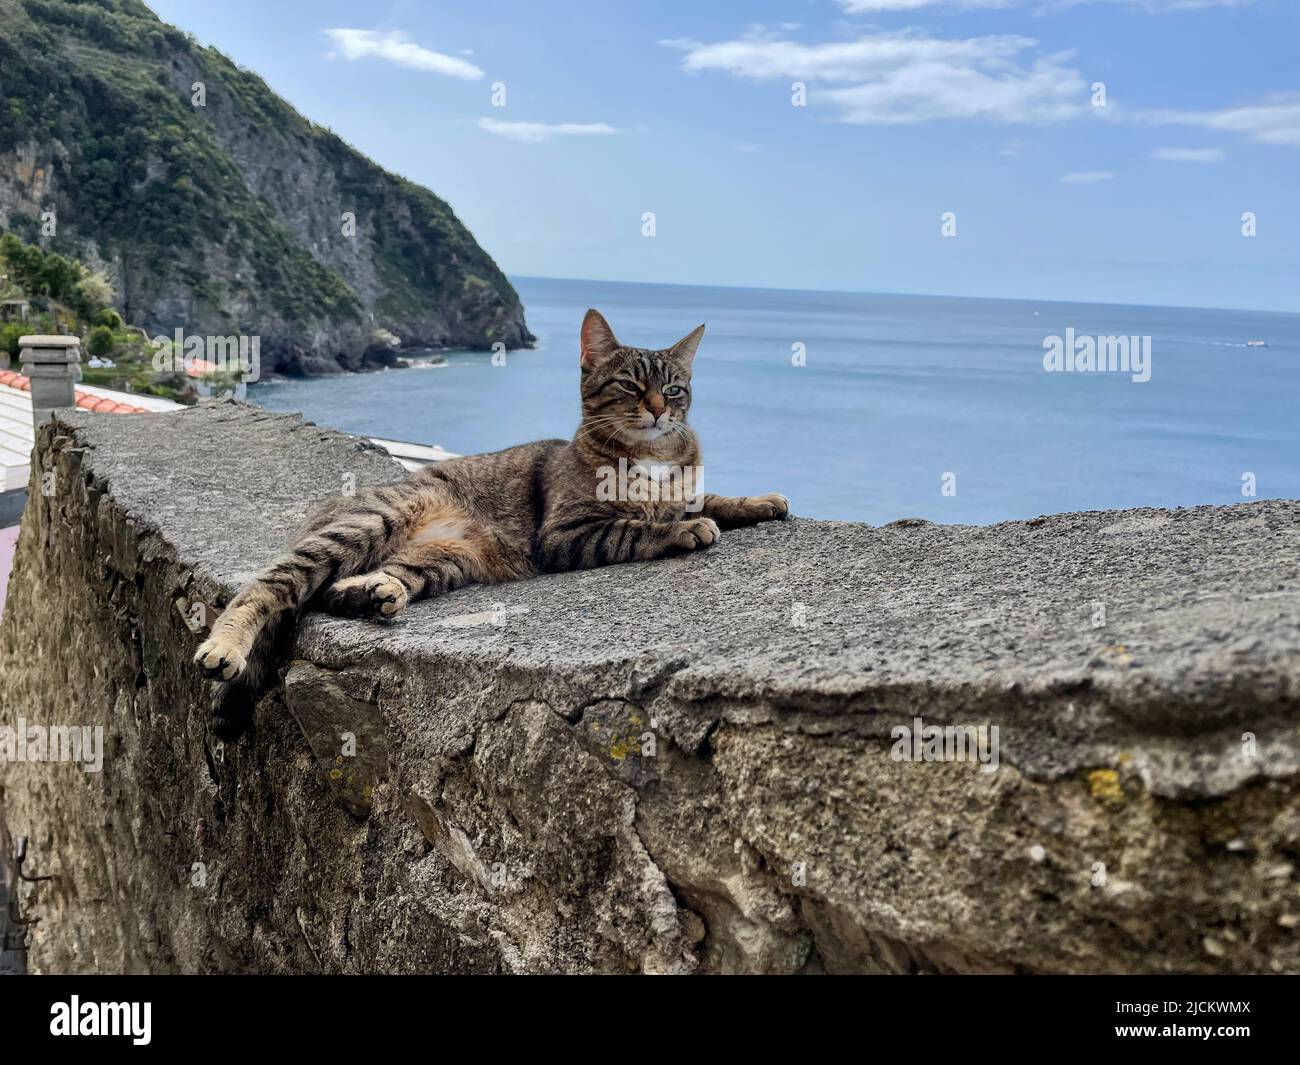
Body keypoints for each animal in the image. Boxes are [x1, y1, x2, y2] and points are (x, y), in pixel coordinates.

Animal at [191, 312, 780, 738]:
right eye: (631, 386)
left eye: (674, 389)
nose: (659, 410)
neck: (651, 458)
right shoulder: (566, 533)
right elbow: (637, 525)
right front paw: (682, 530)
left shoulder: (683, 489)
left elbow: (706, 498)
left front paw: (757, 502)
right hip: (369, 523)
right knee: (268, 587)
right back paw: (227, 646)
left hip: (447, 559)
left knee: (342, 589)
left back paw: (376, 592)